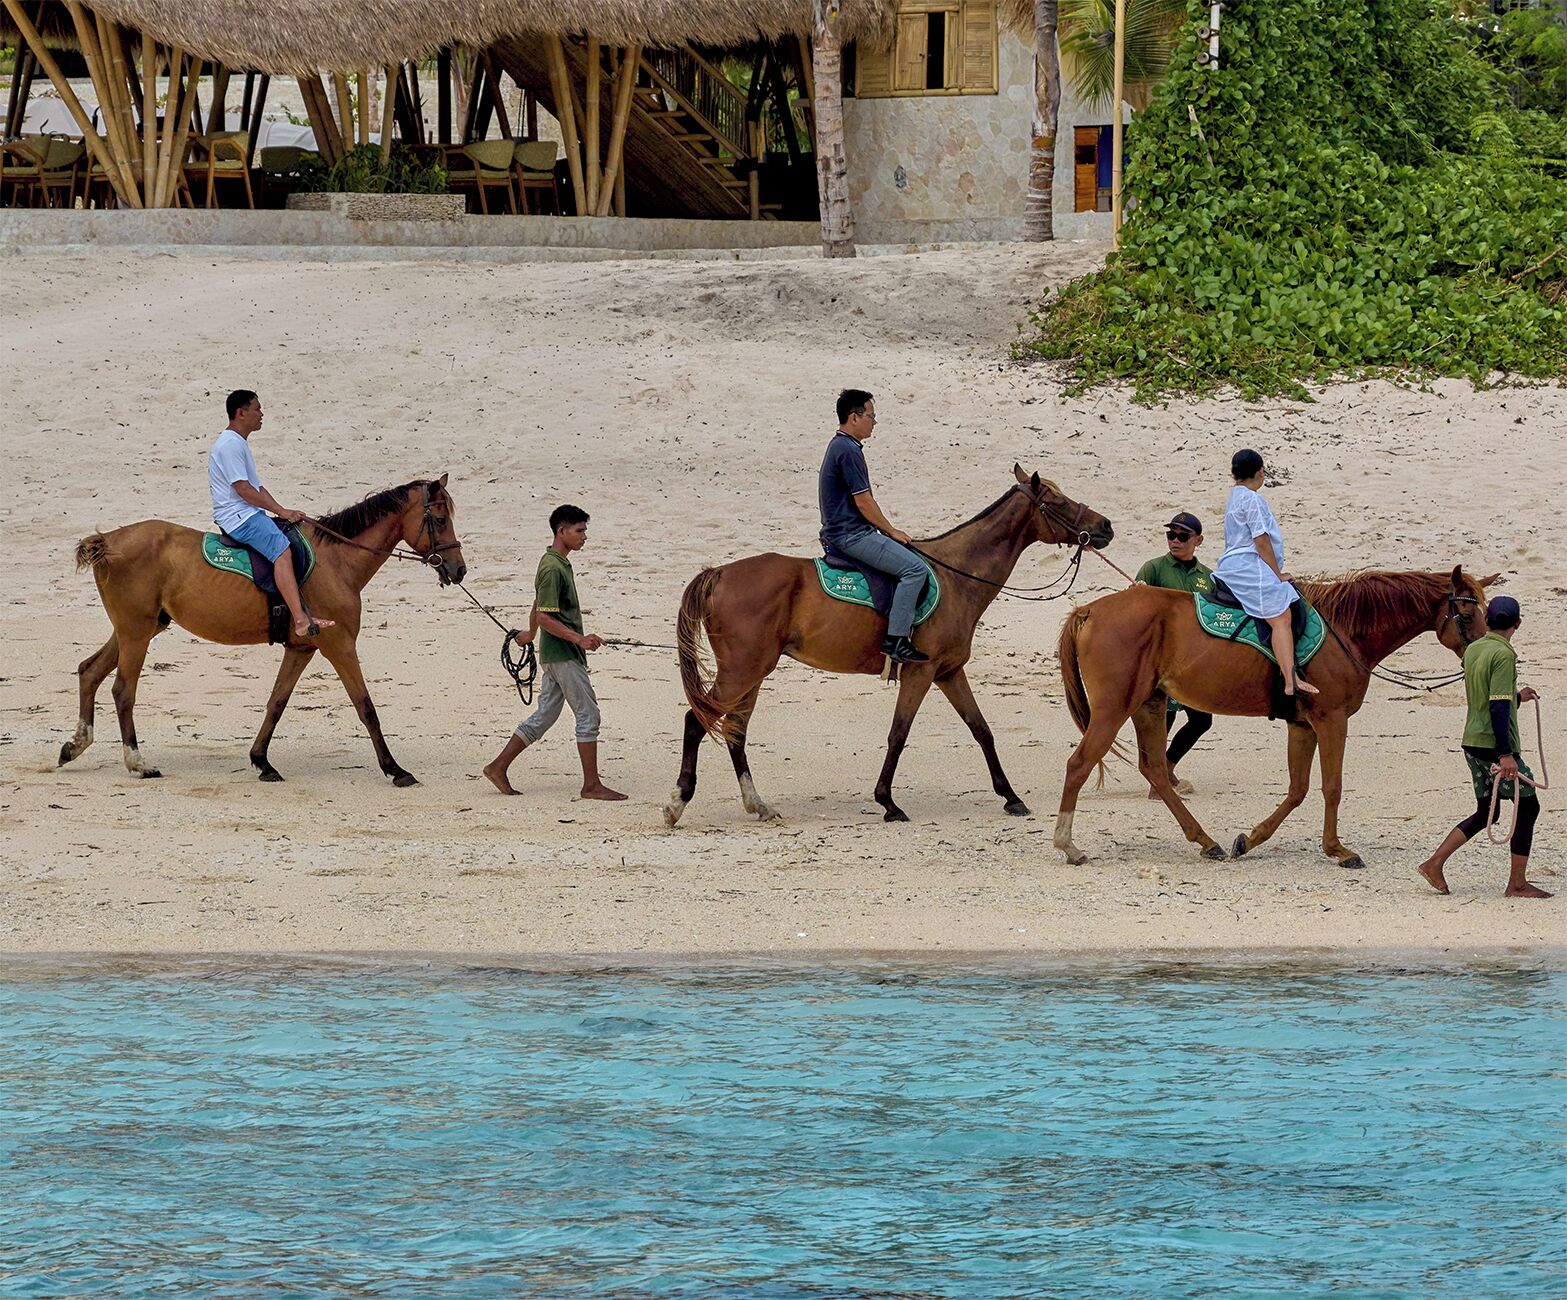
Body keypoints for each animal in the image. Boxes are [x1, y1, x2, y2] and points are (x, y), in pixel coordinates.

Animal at [61, 476, 466, 786]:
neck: (337, 560)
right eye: (439, 520)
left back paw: (76, 744)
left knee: (89, 671)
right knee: (122, 691)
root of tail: (108, 541)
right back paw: (137, 762)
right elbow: (365, 706)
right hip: (136, 634)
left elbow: (277, 702)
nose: (459, 569)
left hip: (134, 630)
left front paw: (262, 760)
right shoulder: (339, 645)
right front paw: (394, 769)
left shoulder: (302, 649)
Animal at [664, 466, 1114, 826]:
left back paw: (758, 804)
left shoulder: (949, 672)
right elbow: (899, 733)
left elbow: (981, 730)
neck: (957, 575)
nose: (1106, 525)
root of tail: (719, 573)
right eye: (1058, 501)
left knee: (735, 731)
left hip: (752, 673)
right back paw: (678, 801)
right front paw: (888, 802)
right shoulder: (921, 670)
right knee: (696, 721)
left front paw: (1011, 796)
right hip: (742, 670)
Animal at [1052, 566, 1495, 869]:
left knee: (1156, 770)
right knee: (1079, 764)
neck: (1345, 630)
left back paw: (1205, 840)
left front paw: (1250, 840)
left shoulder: (1302, 724)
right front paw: (1337, 849)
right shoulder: (1331, 719)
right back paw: (1067, 844)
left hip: (1149, 704)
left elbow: (1298, 789)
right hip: (1114, 709)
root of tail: (1089, 610)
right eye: (1467, 616)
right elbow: (1332, 787)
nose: (1485, 649)